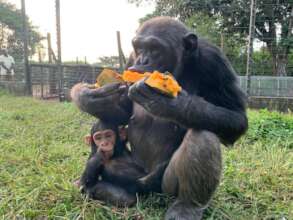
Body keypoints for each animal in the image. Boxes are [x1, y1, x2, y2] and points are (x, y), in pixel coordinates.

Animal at [71, 16, 246, 219]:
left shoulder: (215, 61)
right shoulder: (129, 59)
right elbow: (123, 112)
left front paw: (171, 104)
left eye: (155, 49)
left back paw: (187, 206)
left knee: (203, 136)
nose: (142, 60)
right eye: (139, 48)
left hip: (165, 187)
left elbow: (236, 116)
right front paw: (88, 98)